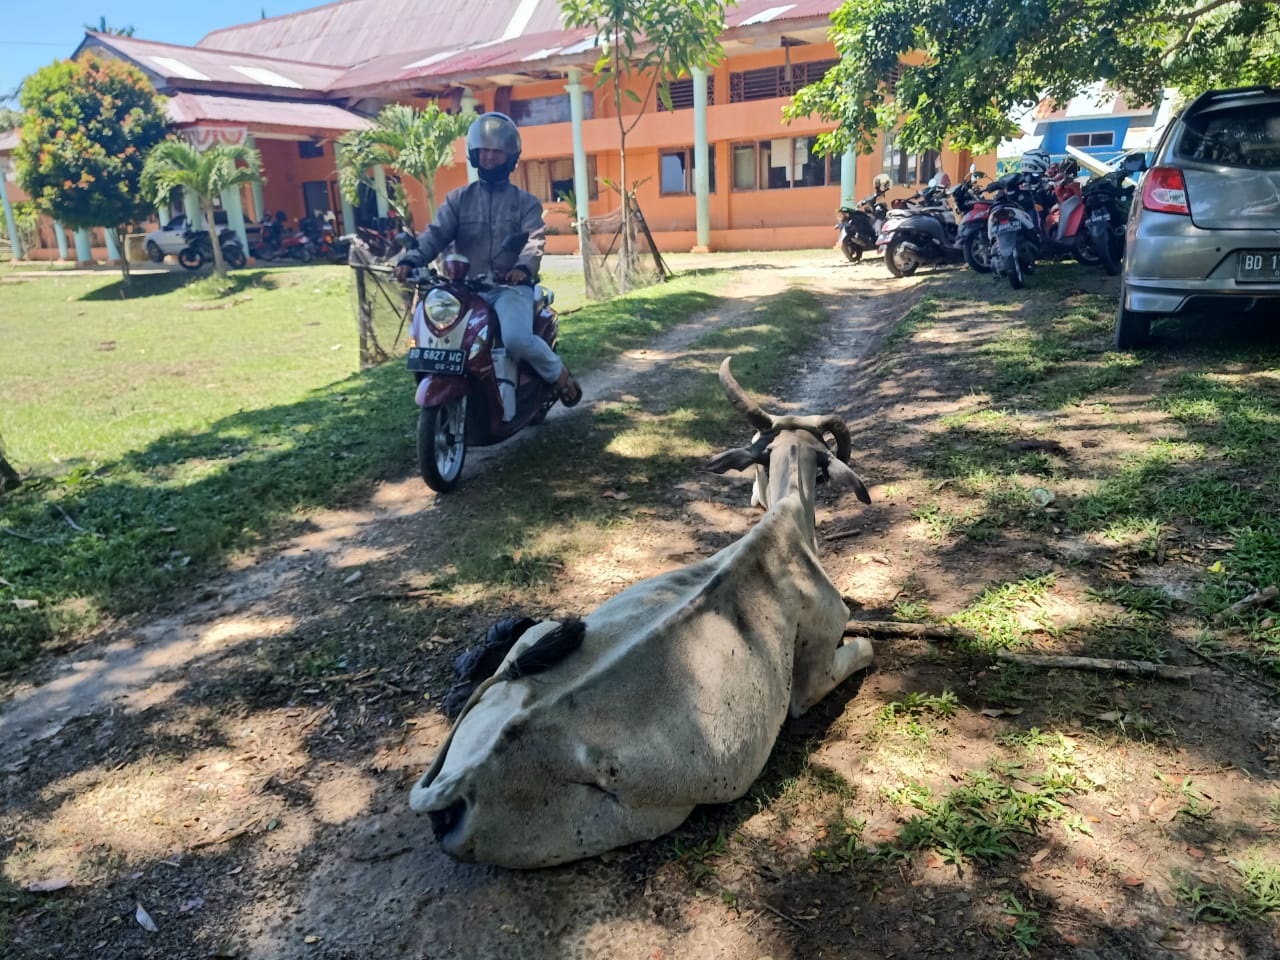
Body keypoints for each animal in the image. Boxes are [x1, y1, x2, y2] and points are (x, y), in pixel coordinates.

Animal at [414, 358, 875, 870]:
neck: (785, 525)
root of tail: (461, 784)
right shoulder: (813, 674)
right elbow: (865, 649)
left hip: (540, 636)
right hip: (648, 817)